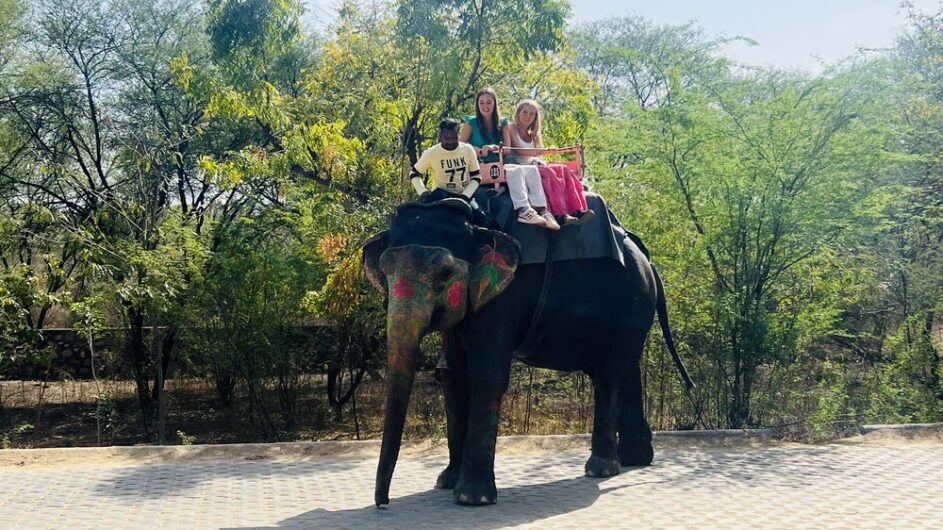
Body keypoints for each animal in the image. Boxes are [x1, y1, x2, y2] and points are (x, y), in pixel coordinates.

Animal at [364, 197, 692, 504]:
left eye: (445, 272)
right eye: (384, 270)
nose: (383, 502)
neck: (478, 225)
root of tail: (648, 261)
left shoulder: (508, 293)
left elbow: (486, 374)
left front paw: (472, 498)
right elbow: (452, 374)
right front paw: (446, 482)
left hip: (634, 300)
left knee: (610, 375)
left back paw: (601, 468)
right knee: (627, 370)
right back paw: (634, 460)